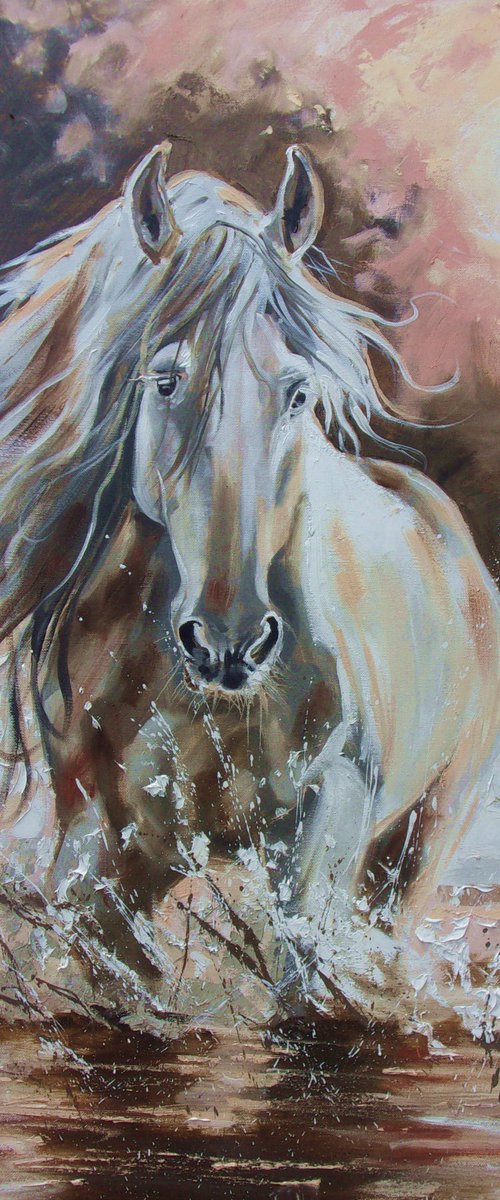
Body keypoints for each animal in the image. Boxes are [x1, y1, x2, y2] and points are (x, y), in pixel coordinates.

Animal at [1, 142, 499, 1023]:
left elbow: (306, 1003)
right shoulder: (98, 850)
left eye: (297, 392)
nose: (229, 643)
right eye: (165, 380)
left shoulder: (324, 831)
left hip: (414, 848)